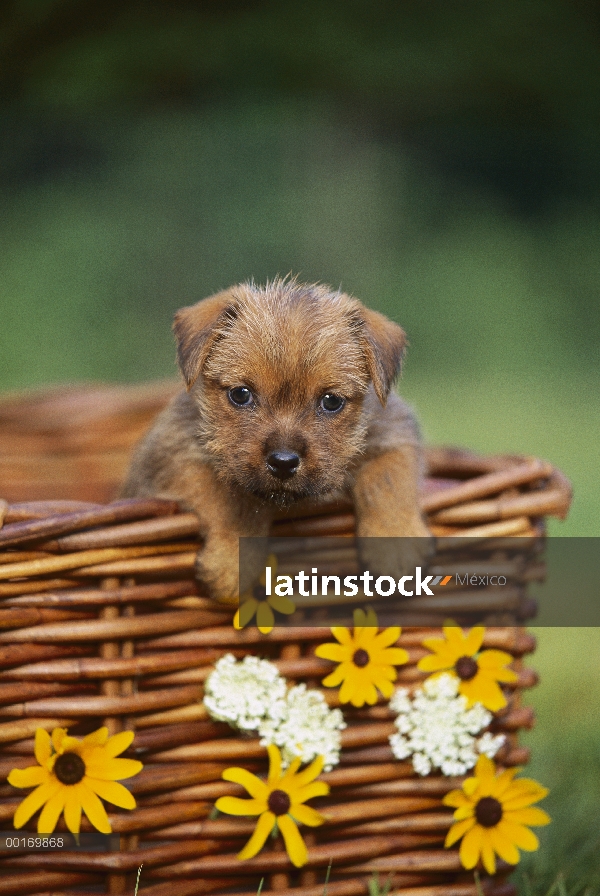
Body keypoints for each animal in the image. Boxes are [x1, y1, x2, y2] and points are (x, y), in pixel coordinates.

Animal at [123, 278, 432, 600]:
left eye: (331, 401)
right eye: (241, 394)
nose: (283, 462)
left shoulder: (393, 429)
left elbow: (390, 476)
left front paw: (396, 548)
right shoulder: (172, 453)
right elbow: (232, 499)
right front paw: (233, 563)